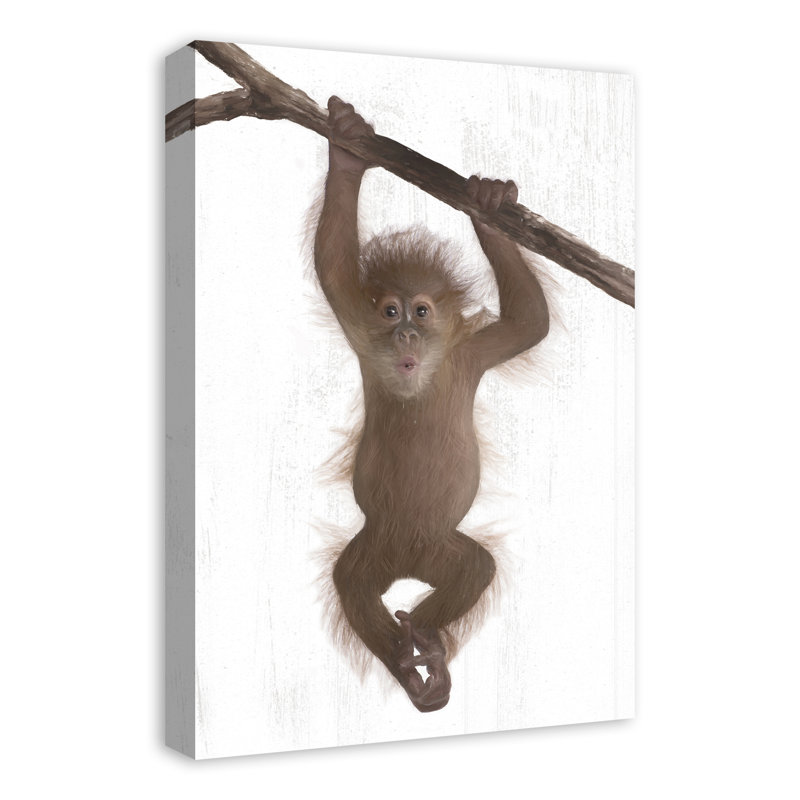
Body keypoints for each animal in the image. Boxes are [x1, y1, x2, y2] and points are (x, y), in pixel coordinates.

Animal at [314, 97, 549, 712]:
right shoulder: (359, 327)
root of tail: (409, 563)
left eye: (421, 311)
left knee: (476, 566)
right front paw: (347, 151)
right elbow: (332, 265)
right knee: (350, 582)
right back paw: (407, 665)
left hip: (441, 549)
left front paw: (488, 206)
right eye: (390, 312)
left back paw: (426, 640)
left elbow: (530, 322)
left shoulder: (472, 354)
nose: (406, 336)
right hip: (375, 546)